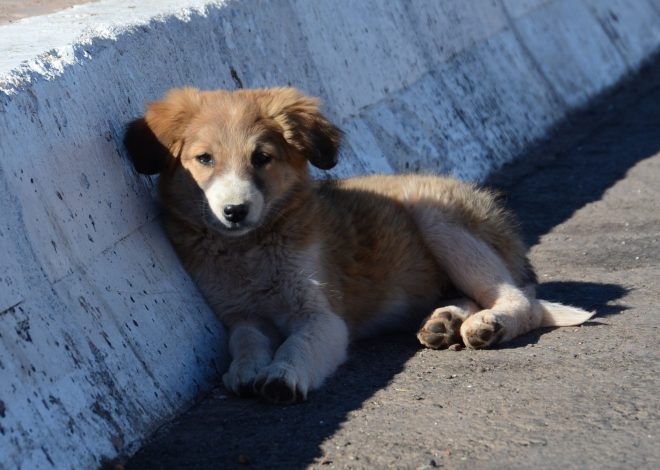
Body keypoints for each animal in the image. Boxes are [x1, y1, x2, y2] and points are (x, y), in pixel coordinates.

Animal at [125, 87, 592, 404]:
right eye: (204, 159)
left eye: (262, 158)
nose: (234, 211)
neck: (251, 248)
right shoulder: (240, 314)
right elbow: (245, 341)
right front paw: (246, 369)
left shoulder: (322, 316)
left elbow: (299, 345)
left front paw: (281, 376)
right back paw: (444, 321)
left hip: (435, 215)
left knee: (522, 300)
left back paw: (487, 325)